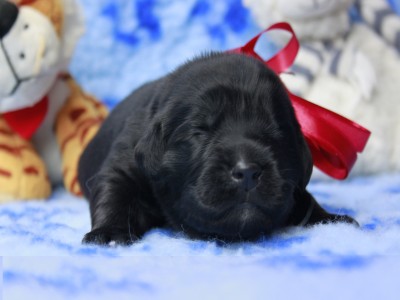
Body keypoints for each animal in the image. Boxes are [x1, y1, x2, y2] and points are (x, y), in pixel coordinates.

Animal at [78, 51, 356, 245]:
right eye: (200, 131)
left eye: (276, 131)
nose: (247, 172)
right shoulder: (125, 163)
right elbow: (114, 191)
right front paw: (109, 233)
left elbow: (305, 199)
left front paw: (329, 219)